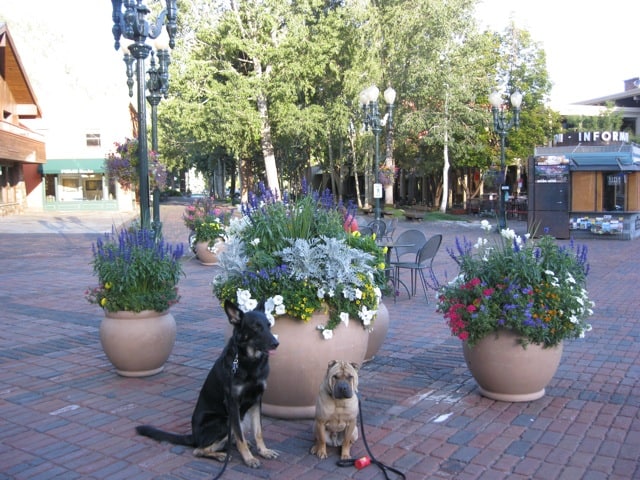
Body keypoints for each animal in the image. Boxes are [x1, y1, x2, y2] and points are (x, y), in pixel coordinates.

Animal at [136, 302, 278, 466]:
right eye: (256, 327)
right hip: (224, 421)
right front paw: (248, 458)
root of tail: (193, 436)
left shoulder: (256, 400)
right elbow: (240, 437)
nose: (276, 343)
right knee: (199, 449)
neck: (249, 362)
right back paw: (221, 455)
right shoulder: (232, 402)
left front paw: (263, 451)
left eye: (269, 325)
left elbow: (258, 431)